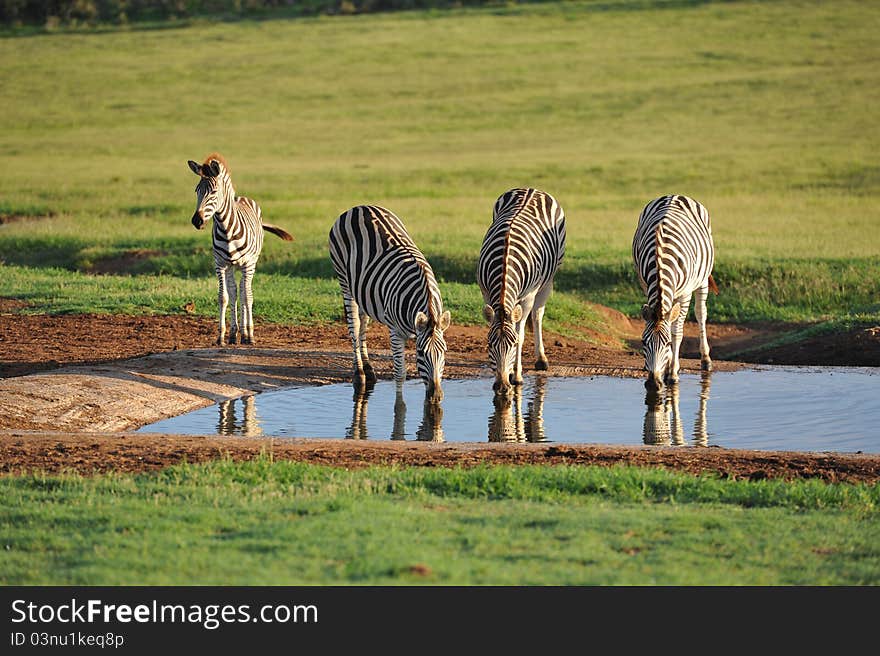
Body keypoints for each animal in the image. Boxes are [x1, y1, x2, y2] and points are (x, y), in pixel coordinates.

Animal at [186, 153, 294, 346]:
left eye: (213, 192)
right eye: (196, 191)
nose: (196, 221)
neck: (226, 228)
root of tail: (241, 198)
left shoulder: (248, 264)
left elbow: (246, 296)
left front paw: (249, 335)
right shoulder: (220, 264)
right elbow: (224, 297)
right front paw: (221, 336)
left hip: (249, 264)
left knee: (245, 292)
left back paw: (245, 333)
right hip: (231, 267)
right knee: (235, 292)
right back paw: (234, 333)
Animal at [326, 204, 450, 400]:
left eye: (444, 351)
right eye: (421, 353)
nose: (436, 396)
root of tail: (359, 206)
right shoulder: (394, 331)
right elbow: (400, 374)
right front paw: (399, 403)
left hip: (364, 291)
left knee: (363, 325)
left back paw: (368, 369)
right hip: (344, 282)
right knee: (354, 325)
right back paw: (359, 374)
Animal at [478, 188, 568, 394]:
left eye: (513, 345)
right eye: (489, 345)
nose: (502, 387)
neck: (505, 261)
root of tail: (532, 189)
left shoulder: (527, 298)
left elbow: (520, 333)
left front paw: (517, 376)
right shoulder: (486, 292)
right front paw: (509, 373)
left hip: (548, 280)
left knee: (537, 315)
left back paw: (541, 360)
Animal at [636, 193, 720, 390]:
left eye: (667, 343)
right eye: (643, 342)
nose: (653, 384)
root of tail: (675, 195)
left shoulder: (685, 294)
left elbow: (677, 331)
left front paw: (672, 372)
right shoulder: (645, 284)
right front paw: (665, 368)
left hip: (702, 280)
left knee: (701, 313)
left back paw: (706, 360)